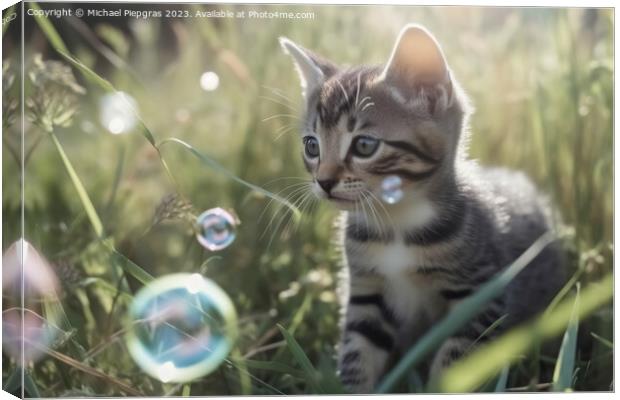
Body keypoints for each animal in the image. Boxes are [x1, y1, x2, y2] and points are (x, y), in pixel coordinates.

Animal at [280, 25, 568, 394]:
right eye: (311, 146)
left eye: (364, 146)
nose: (324, 181)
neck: (397, 221)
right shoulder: (366, 293)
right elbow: (358, 355)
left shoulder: (479, 297)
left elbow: (454, 364)